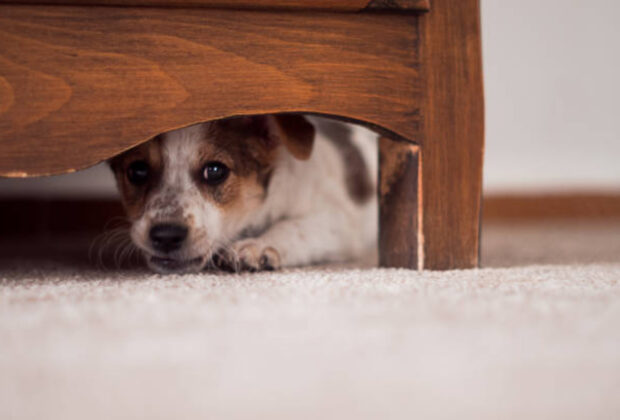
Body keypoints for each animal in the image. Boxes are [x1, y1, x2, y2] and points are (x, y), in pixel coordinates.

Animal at [108, 115, 376, 274]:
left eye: (215, 171)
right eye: (137, 171)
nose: (166, 235)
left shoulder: (337, 220)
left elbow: (294, 226)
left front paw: (259, 246)